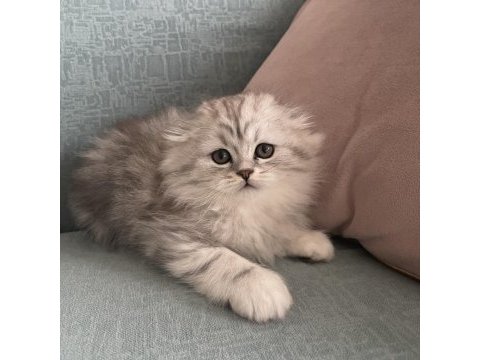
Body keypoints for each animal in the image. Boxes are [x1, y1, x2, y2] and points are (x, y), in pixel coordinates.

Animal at [70, 93, 334, 324]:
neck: (241, 209)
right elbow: (224, 260)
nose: (245, 173)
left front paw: (311, 241)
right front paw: (262, 288)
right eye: (221, 156)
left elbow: (282, 229)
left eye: (264, 150)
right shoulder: (172, 233)